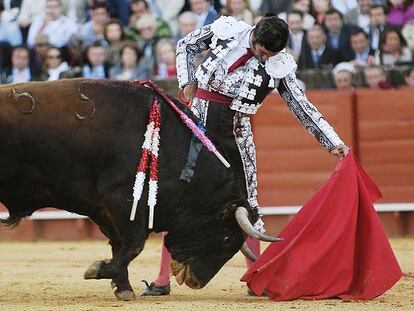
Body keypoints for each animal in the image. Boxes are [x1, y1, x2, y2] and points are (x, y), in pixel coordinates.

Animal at [1, 79, 278, 302]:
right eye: (227, 239)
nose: (196, 281)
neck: (171, 149)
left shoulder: (107, 209)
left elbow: (120, 245)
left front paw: (122, 287)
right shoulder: (123, 201)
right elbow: (134, 245)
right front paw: (99, 270)